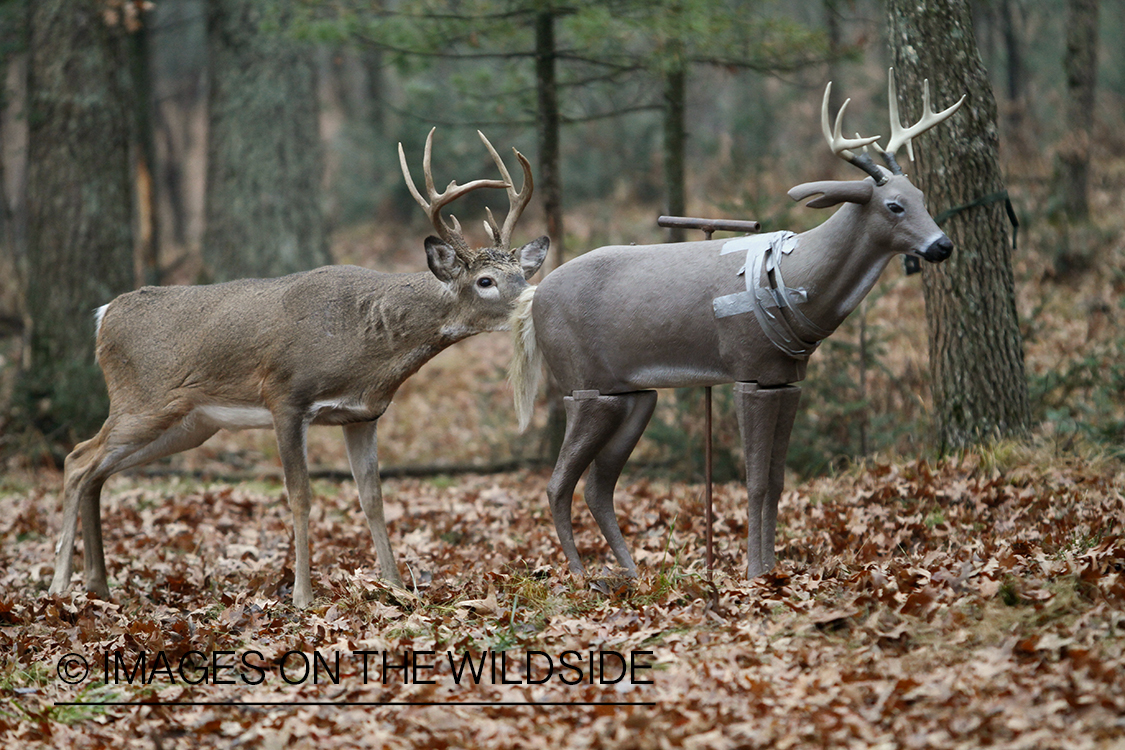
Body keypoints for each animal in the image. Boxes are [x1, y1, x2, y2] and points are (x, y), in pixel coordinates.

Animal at [48, 130, 549, 611]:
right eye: (485, 281)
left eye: (522, 275)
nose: (534, 299)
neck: (366, 342)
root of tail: (104, 315)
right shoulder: (285, 397)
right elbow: (301, 497)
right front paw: (302, 596)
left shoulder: (363, 414)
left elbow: (373, 499)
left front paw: (395, 587)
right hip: (143, 401)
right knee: (77, 461)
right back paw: (58, 585)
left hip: (189, 424)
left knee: (97, 472)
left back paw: (98, 585)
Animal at [515, 71, 963, 580]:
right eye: (893, 206)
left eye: (923, 197)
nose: (943, 245)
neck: (798, 278)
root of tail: (532, 299)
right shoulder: (747, 369)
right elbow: (754, 482)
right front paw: (752, 573)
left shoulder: (784, 379)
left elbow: (777, 479)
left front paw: (771, 567)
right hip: (584, 385)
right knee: (557, 483)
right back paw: (580, 575)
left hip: (633, 396)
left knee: (597, 485)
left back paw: (632, 574)